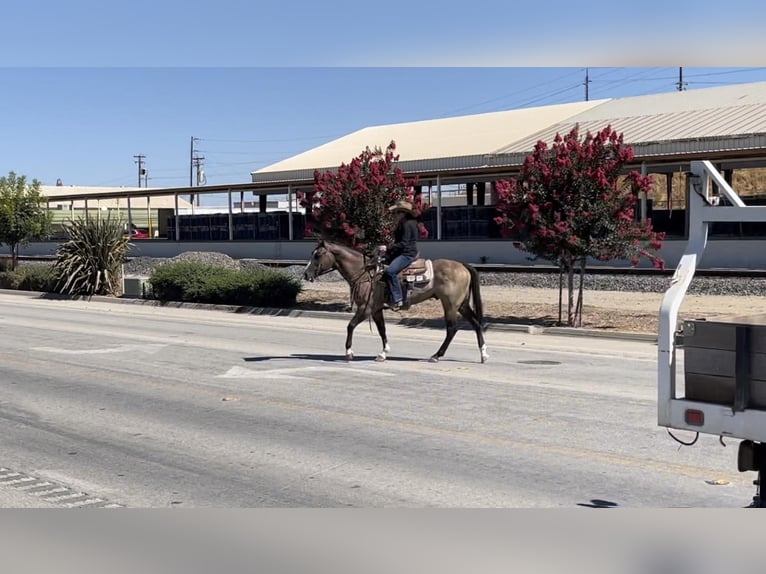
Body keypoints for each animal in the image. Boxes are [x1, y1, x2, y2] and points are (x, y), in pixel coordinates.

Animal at [304, 238, 488, 364]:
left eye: (317, 255)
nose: (306, 274)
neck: (365, 273)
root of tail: (463, 265)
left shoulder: (365, 308)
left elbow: (350, 326)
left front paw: (349, 352)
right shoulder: (376, 310)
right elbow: (382, 330)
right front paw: (383, 353)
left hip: (450, 305)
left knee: (452, 328)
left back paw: (436, 355)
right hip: (462, 305)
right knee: (476, 324)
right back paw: (483, 354)